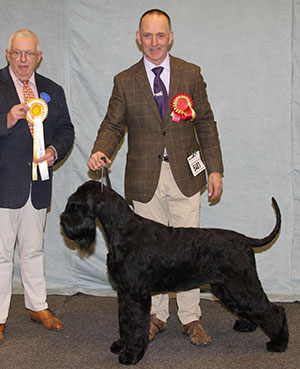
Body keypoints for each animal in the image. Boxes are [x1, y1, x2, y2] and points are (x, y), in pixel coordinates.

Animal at [60, 180, 288, 364]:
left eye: (76, 205)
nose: (63, 221)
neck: (122, 228)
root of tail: (245, 240)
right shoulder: (124, 293)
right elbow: (124, 321)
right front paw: (120, 344)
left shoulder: (136, 294)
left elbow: (135, 324)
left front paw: (131, 355)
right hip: (225, 288)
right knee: (250, 308)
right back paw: (247, 326)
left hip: (242, 285)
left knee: (273, 310)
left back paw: (279, 343)